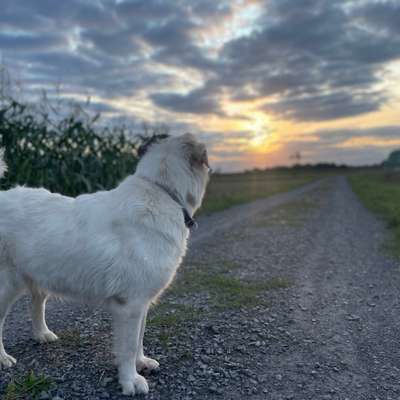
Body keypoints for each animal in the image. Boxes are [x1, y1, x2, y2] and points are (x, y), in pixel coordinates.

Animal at [0, 134, 211, 394]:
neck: (163, 191)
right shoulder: (129, 305)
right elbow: (128, 346)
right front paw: (131, 380)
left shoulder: (141, 302)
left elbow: (139, 338)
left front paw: (141, 363)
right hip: (6, 286)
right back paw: (3, 358)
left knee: (37, 304)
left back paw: (43, 334)